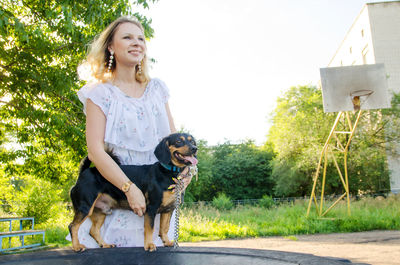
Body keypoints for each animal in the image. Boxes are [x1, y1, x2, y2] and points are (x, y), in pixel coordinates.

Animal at [70, 133, 198, 251]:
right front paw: (149, 245)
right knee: (73, 226)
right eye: (178, 141)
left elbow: (164, 228)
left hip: (100, 212)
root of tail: (83, 173)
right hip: (85, 207)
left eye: (192, 141)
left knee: (93, 230)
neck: (170, 173)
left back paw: (105, 244)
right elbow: (149, 229)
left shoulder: (168, 210)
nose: (195, 148)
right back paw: (77, 246)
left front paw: (166, 242)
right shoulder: (151, 208)